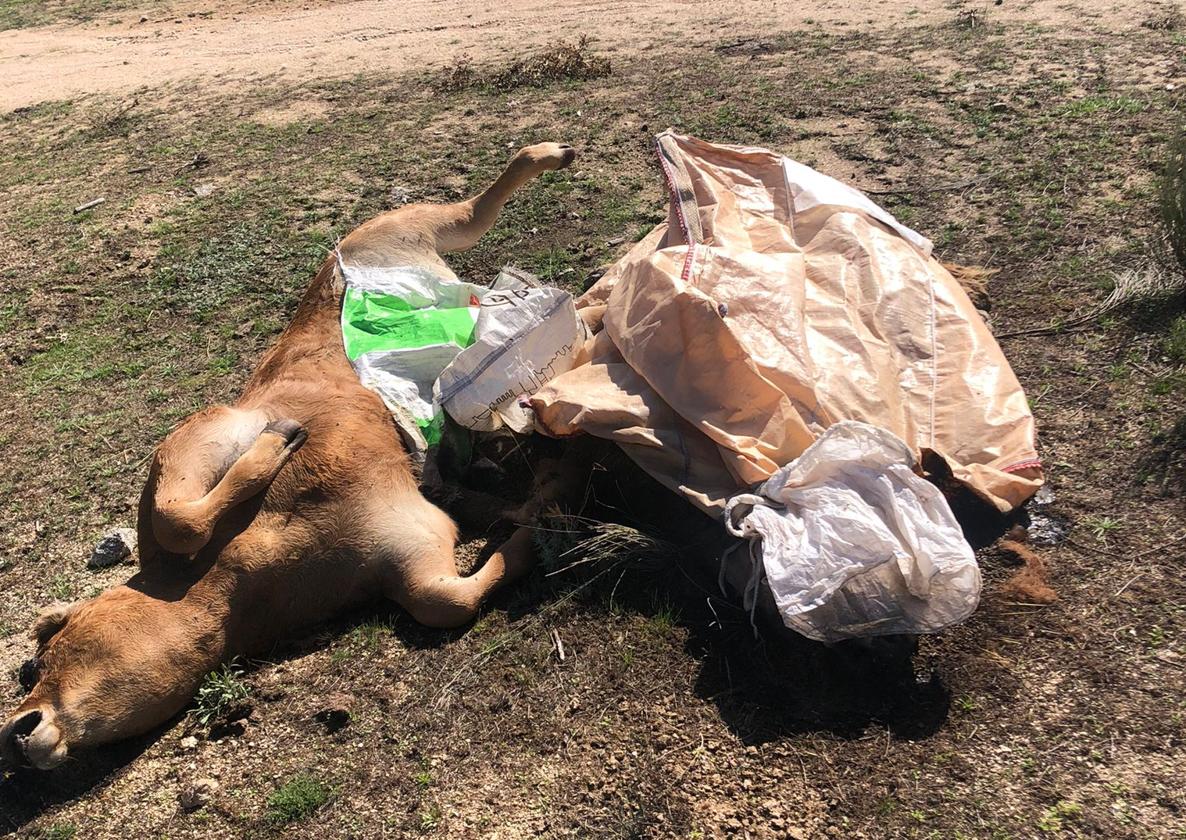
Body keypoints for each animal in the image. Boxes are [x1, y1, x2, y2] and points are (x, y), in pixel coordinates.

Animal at [0, 141, 574, 768]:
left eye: (45, 656)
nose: (18, 730)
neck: (244, 574)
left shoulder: (201, 432)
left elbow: (178, 518)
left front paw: (281, 441)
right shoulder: (412, 544)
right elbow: (449, 591)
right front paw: (540, 509)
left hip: (414, 226)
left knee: (476, 203)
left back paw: (553, 154)